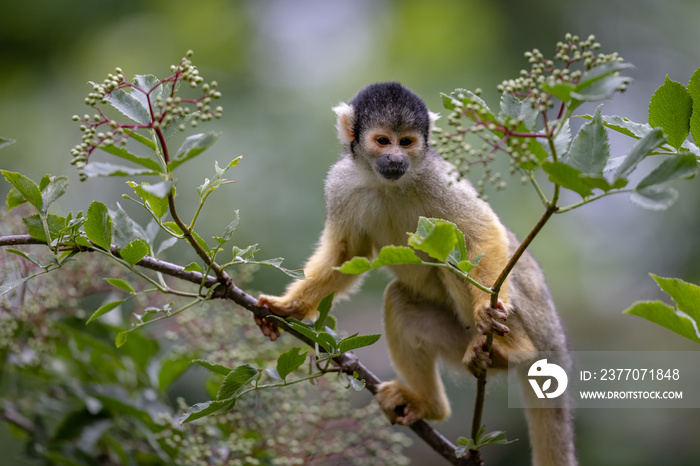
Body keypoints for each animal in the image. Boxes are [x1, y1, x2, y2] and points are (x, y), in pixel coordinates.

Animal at [258, 82, 576, 464]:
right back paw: (429, 406)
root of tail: (555, 341)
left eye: (406, 142)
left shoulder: (438, 177)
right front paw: (287, 308)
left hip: (531, 319)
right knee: (401, 299)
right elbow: (347, 254)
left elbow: (482, 234)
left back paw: (510, 349)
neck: (390, 184)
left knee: (456, 260)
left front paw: (486, 309)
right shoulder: (340, 184)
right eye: (383, 141)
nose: (397, 159)